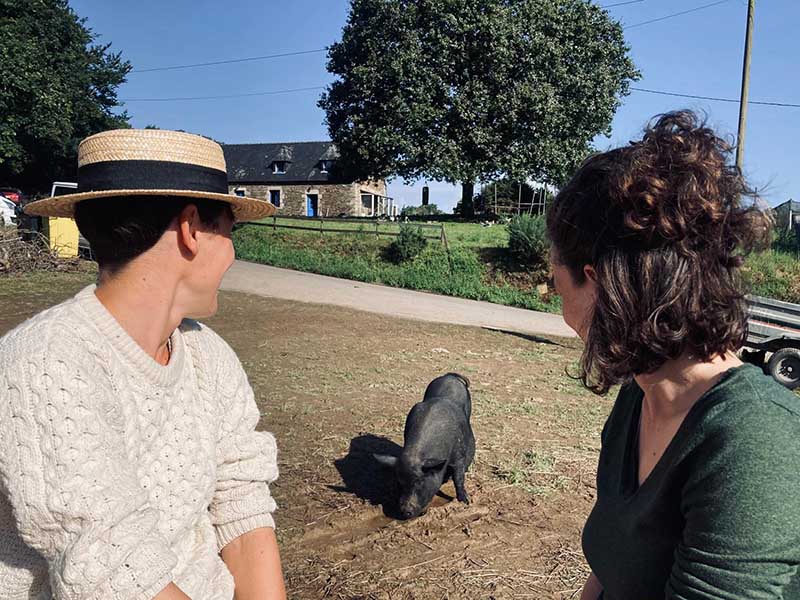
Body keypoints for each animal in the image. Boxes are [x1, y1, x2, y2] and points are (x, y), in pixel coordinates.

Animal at [376, 372, 476, 516]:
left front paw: (465, 501)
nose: (405, 511)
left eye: (420, 482)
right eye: (400, 482)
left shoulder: (458, 456)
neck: (416, 454)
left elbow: (458, 478)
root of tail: (449, 376)